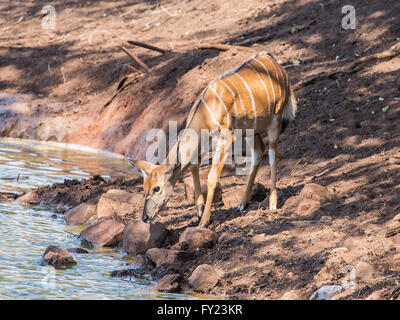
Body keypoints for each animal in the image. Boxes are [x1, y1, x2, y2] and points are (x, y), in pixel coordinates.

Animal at [130, 51, 296, 228]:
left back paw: (272, 203)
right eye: (144, 188)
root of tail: (273, 60)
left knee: (273, 154)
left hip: (275, 119)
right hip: (252, 130)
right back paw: (242, 204)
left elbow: (211, 178)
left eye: (156, 188)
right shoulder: (204, 146)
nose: (145, 217)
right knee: (259, 152)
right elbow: (193, 166)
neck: (203, 114)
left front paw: (204, 220)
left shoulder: (226, 138)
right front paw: (200, 210)